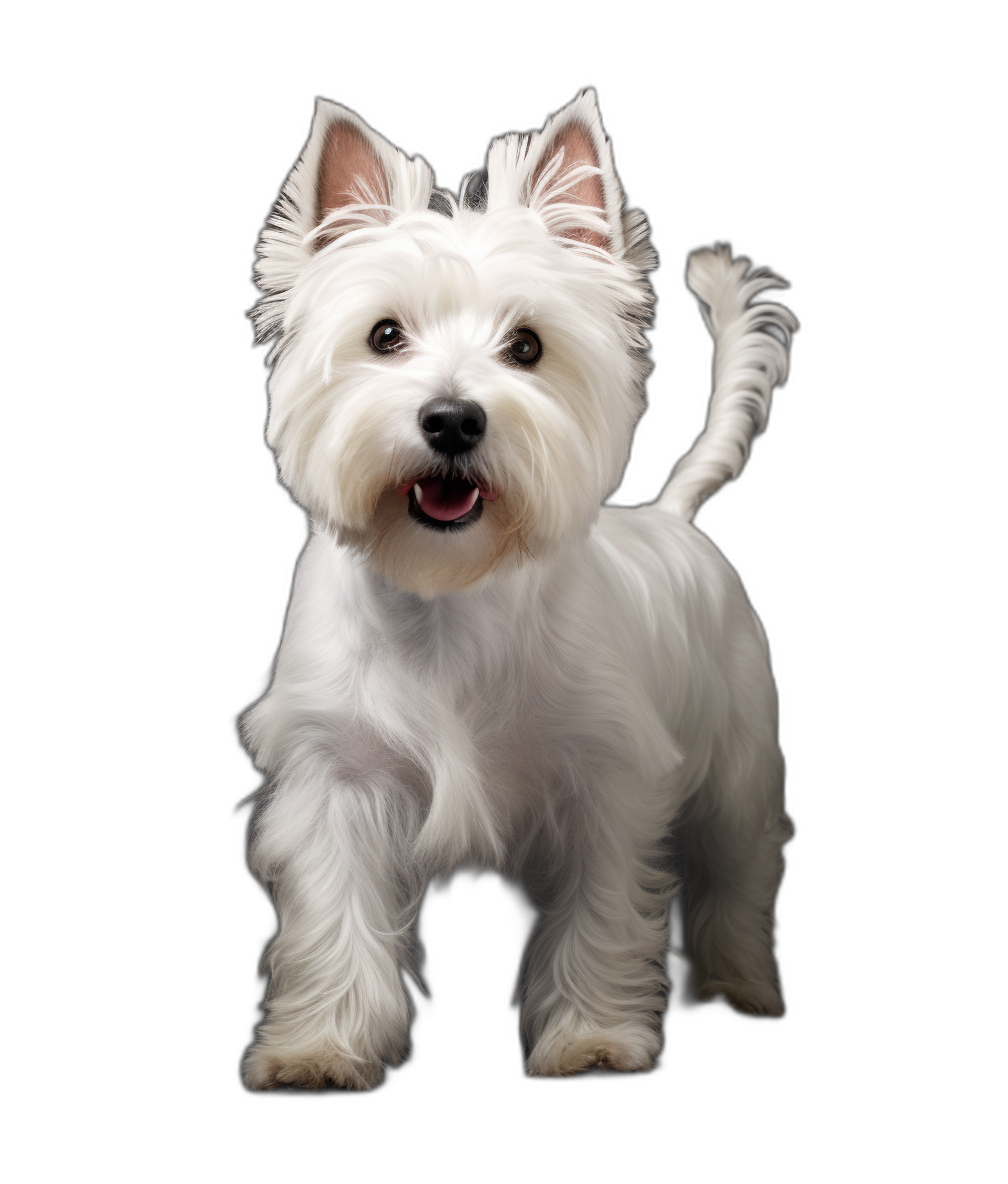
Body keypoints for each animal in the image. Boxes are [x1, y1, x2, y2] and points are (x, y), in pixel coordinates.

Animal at [242, 89, 795, 1089]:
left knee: (737, 871)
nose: (453, 419)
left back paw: (739, 985)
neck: (450, 593)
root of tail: (673, 515)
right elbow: (336, 919)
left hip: (739, 761)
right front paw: (318, 1049)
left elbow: (600, 912)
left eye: (527, 346)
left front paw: (592, 1039)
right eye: (385, 336)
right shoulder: (336, 775)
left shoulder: (606, 778)